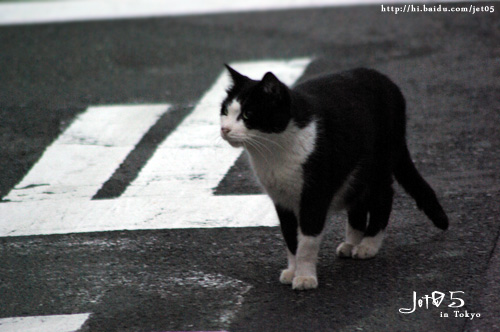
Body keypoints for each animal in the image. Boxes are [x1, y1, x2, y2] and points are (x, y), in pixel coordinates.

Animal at [219, 65, 450, 290]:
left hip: (379, 162)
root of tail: (384, 78)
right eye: (225, 111)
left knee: (383, 198)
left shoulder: (314, 194)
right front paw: (292, 271)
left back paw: (368, 245)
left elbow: (307, 242)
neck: (273, 154)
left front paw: (305, 278)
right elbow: (290, 238)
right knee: (359, 202)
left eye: (248, 114)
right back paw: (351, 244)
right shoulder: (281, 199)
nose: (225, 129)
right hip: (356, 171)